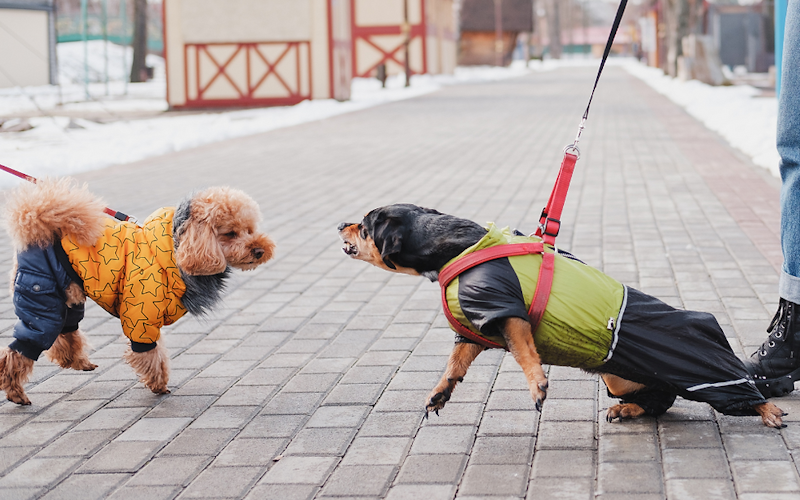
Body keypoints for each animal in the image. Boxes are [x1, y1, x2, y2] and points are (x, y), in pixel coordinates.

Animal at [340, 205, 788, 428]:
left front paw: (538, 386)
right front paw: (439, 393)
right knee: (660, 401)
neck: (456, 246)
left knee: (745, 391)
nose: (340, 223)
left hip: (708, 372)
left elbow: (524, 353)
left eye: (363, 226)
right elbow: (455, 364)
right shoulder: (476, 326)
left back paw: (768, 411)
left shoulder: (506, 312)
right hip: (620, 378)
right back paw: (627, 411)